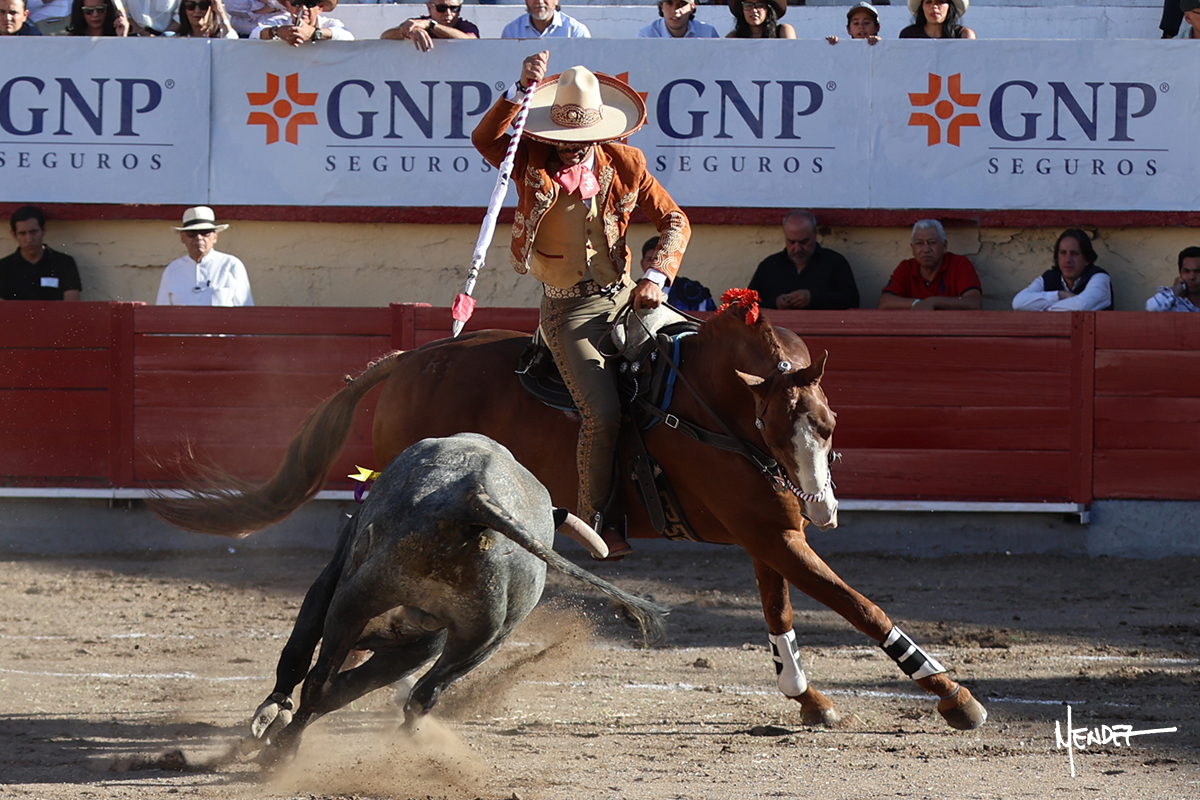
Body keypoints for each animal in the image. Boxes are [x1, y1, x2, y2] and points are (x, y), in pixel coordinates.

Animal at [152, 295, 987, 731]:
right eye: (780, 423)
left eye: (830, 425)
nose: (825, 509)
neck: (706, 404)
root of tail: (409, 358)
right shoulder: (773, 532)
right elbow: (859, 604)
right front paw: (955, 697)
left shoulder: (770, 533)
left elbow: (781, 612)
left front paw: (808, 698)